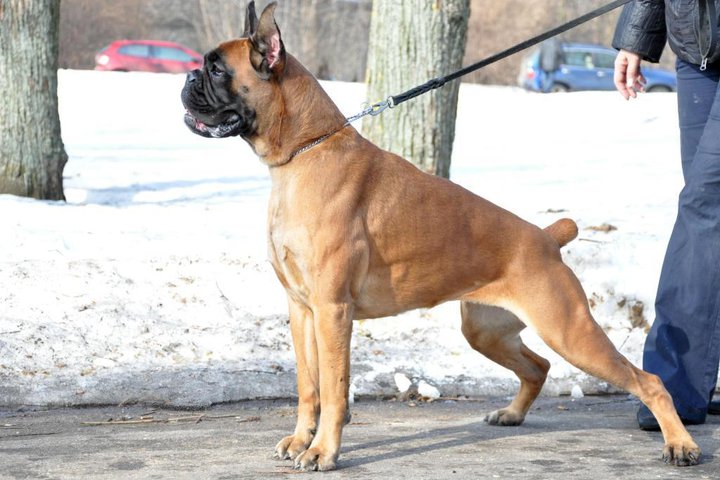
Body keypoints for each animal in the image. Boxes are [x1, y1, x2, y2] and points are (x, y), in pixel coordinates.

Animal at [181, 1, 701, 471]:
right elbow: (309, 385)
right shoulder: (301, 309)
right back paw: (511, 414)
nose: (187, 77)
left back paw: (680, 445)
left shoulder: (331, 311)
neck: (304, 152)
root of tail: (545, 237)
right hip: (486, 331)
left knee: (648, 381)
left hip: (570, 331)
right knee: (539, 368)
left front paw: (323, 451)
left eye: (216, 69)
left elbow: (333, 387)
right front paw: (300, 440)